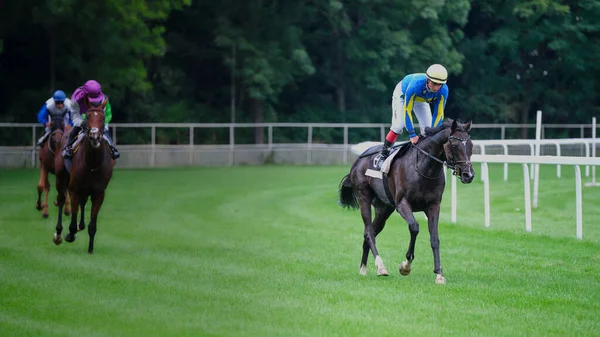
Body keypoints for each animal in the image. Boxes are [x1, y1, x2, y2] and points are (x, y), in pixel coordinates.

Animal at [53, 105, 115, 252]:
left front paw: (90, 249)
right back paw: (58, 234)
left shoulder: (99, 193)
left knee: (82, 202)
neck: (92, 164)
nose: (94, 137)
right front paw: (70, 234)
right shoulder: (74, 189)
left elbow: (92, 224)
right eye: (87, 117)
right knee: (61, 199)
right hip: (61, 177)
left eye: (103, 118)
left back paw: (80, 226)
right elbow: (72, 220)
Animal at [338, 119, 474, 282]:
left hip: (383, 208)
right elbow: (414, 227)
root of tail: (359, 160)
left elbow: (435, 238)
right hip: (364, 196)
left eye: (471, 145)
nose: (468, 175)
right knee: (369, 232)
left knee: (371, 232)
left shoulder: (434, 205)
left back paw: (363, 269)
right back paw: (380, 266)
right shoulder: (402, 204)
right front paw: (405, 266)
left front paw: (439, 274)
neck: (423, 168)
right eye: (454, 145)